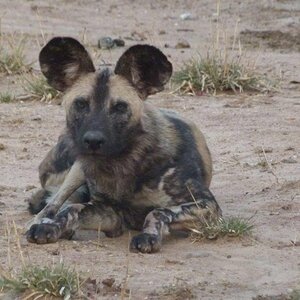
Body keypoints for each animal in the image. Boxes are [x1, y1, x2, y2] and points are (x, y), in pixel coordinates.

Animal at [25, 37, 221, 253]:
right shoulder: (111, 212)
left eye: (120, 107)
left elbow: (158, 211)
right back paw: (43, 222)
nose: (93, 140)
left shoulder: (206, 206)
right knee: (52, 204)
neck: (123, 163)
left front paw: (148, 236)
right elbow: (71, 209)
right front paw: (52, 227)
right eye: (81, 104)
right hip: (77, 167)